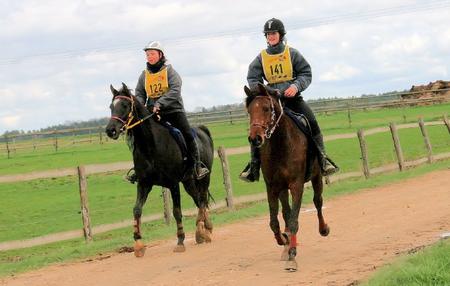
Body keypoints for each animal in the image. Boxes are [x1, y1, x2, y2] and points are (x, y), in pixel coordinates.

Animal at [104, 83, 214, 256]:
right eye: (111, 106)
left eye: (125, 105)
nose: (111, 130)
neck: (151, 145)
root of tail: (203, 130)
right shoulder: (144, 183)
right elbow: (136, 210)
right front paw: (138, 244)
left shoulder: (173, 184)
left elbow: (176, 212)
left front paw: (180, 241)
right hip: (188, 181)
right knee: (198, 199)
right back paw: (204, 230)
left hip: (203, 178)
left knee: (202, 199)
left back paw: (201, 230)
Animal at [244, 84, 328, 272]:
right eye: (249, 111)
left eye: (267, 109)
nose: (255, 138)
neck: (281, 145)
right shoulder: (272, 187)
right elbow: (275, 222)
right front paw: (284, 240)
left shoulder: (297, 185)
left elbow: (294, 220)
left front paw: (292, 255)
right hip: (283, 189)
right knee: (285, 212)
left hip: (317, 177)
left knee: (317, 202)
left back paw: (323, 229)